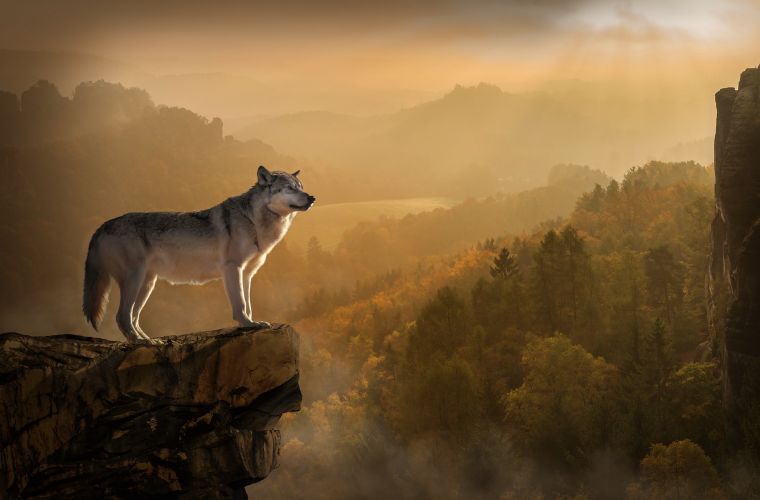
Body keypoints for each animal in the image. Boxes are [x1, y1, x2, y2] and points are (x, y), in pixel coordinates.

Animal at [80, 166, 312, 342]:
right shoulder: (232, 268)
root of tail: (102, 226)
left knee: (133, 317)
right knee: (122, 316)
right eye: (290, 189)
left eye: (301, 187)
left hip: (147, 284)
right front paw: (246, 324)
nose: (312, 197)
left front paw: (253, 323)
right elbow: (240, 303)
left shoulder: (247, 274)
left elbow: (248, 303)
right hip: (135, 280)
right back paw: (141, 342)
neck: (254, 221)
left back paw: (149, 340)